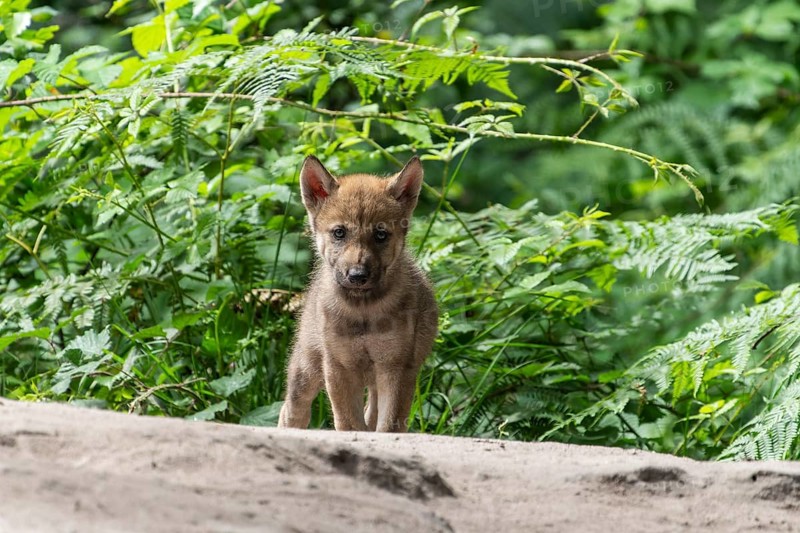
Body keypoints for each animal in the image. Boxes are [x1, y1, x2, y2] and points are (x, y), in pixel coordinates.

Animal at [278, 155, 438, 432]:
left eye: (381, 234)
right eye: (339, 232)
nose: (357, 275)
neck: (363, 311)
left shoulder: (396, 367)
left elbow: (387, 426)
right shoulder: (339, 367)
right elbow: (351, 424)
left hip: (375, 380)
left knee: (370, 414)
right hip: (306, 371)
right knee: (289, 410)